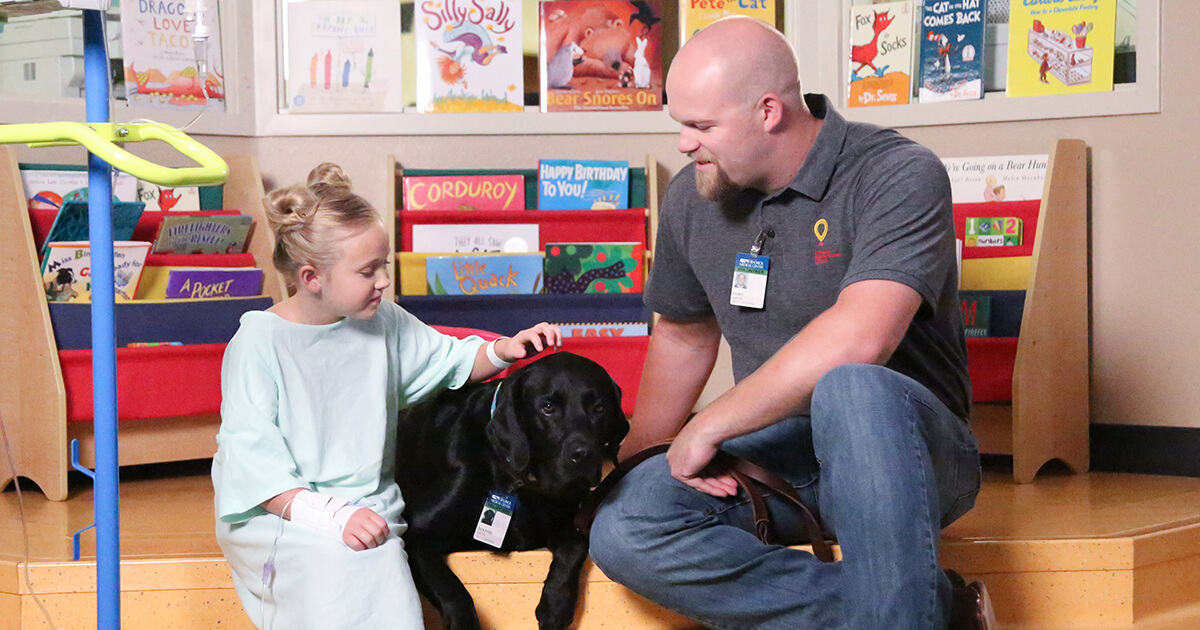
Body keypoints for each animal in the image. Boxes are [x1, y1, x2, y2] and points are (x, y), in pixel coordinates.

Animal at [398, 350, 633, 624]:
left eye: (599, 408)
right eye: (547, 407)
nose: (583, 455)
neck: (519, 484)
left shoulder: (562, 522)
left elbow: (576, 545)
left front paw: (556, 605)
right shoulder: (416, 535)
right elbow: (453, 591)